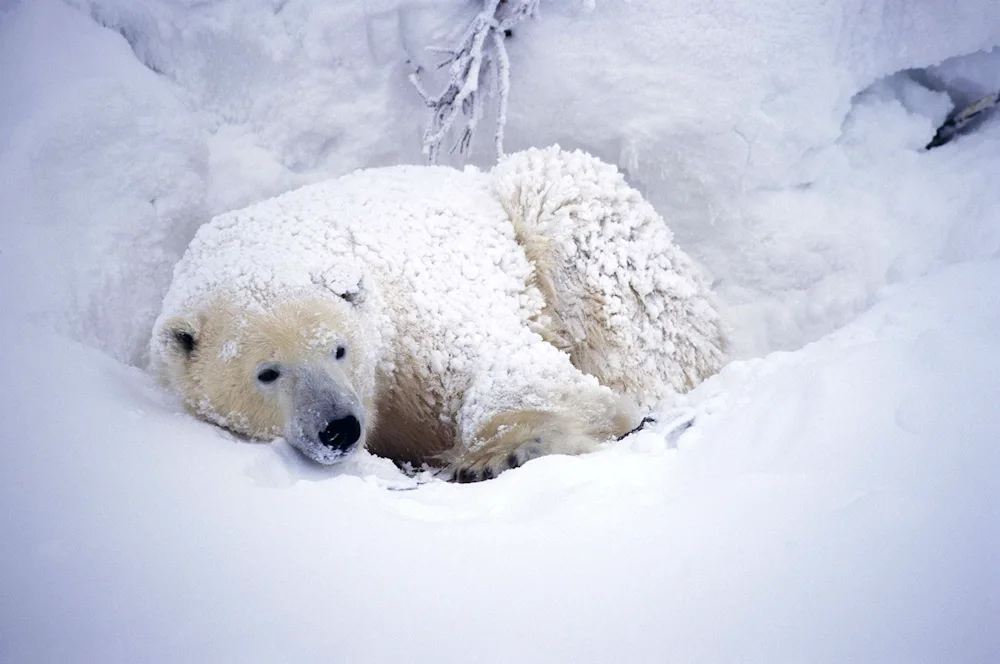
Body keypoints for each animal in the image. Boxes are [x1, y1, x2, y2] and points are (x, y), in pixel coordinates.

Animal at [150, 145, 728, 480]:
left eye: (339, 349)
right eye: (268, 373)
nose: (340, 428)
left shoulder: (420, 314)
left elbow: (515, 366)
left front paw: (504, 452)